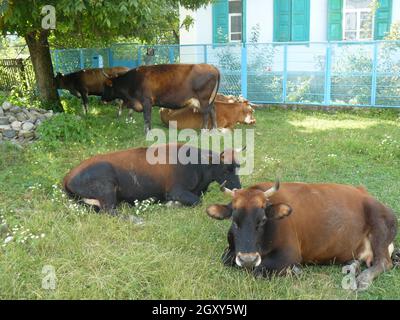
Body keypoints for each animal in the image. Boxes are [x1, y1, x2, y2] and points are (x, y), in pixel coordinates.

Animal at [206, 181, 396, 292]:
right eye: (234, 221)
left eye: (263, 220)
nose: (248, 259)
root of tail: (365, 193)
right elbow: (226, 259)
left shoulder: (289, 254)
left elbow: (258, 271)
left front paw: (295, 270)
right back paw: (352, 267)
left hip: (379, 223)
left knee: (384, 262)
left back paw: (363, 279)